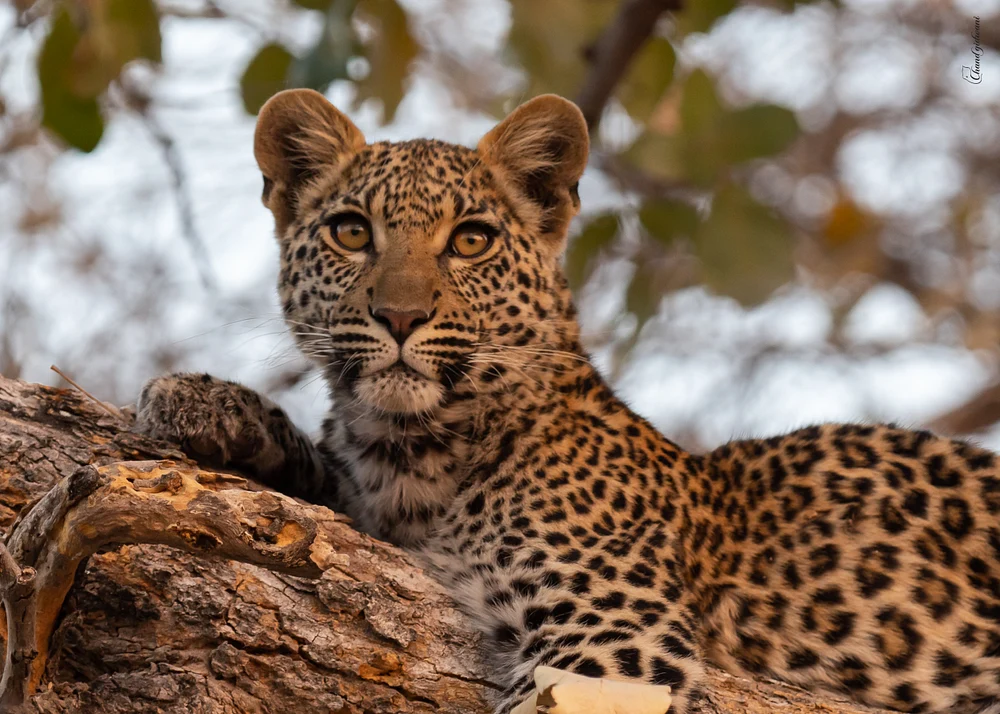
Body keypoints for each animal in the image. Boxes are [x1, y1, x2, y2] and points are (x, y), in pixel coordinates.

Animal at [134, 88, 1000, 714]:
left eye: (471, 240)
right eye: (352, 233)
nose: (401, 317)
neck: (413, 451)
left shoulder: (613, 634)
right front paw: (204, 402)